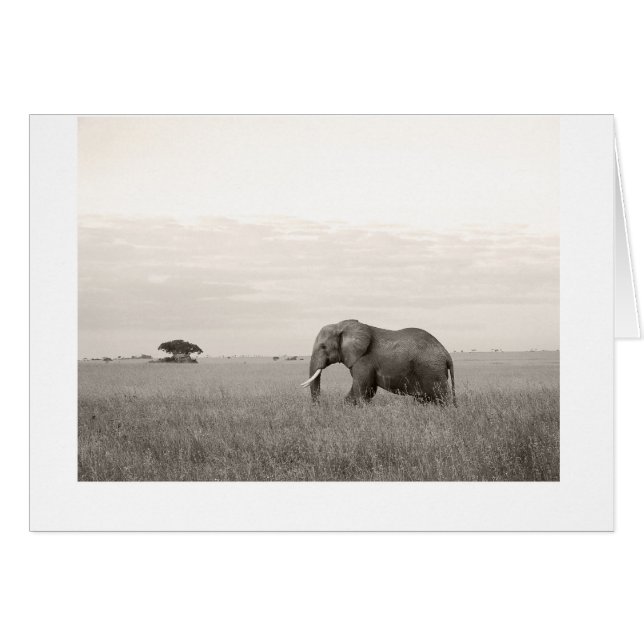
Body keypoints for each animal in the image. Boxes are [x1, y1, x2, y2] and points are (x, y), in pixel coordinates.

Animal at [300, 319, 456, 405]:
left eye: (323, 347)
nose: (319, 406)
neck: (342, 325)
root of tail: (447, 354)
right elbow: (367, 391)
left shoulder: (363, 360)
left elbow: (361, 390)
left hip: (431, 370)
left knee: (441, 397)